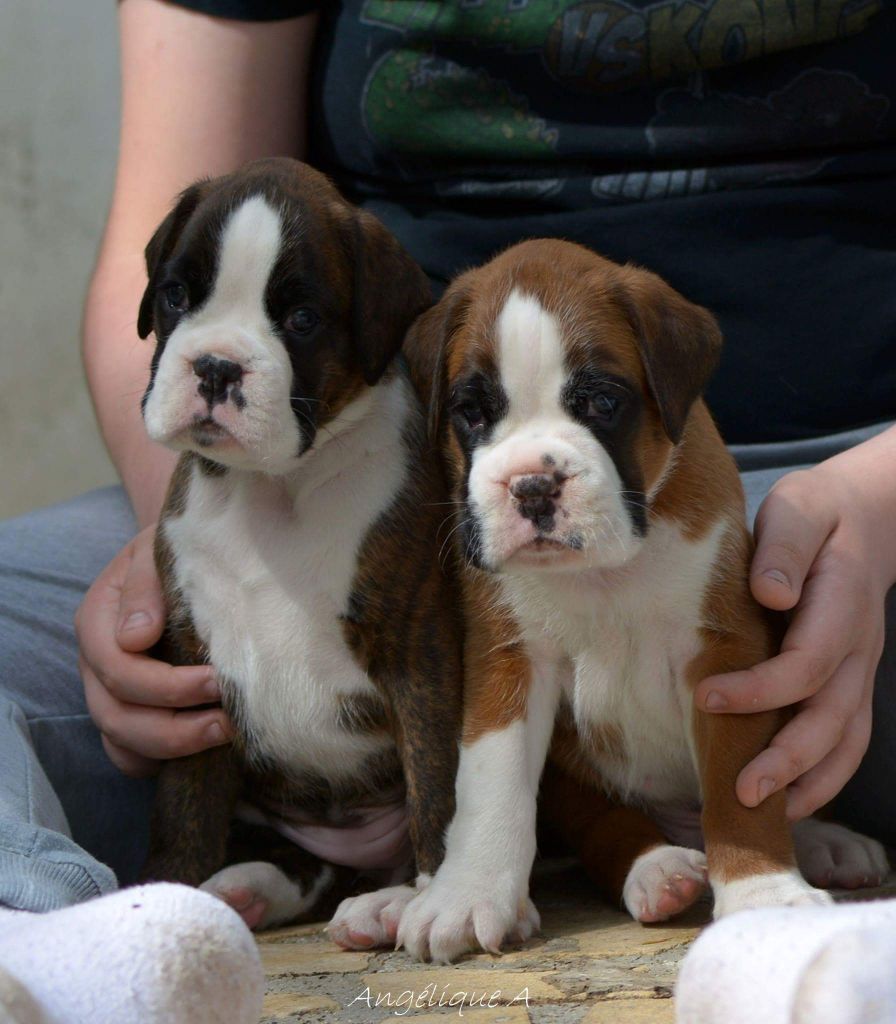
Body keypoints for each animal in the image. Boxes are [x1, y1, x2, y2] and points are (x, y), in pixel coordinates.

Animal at [139, 159, 462, 937]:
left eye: (302, 321)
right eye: (175, 295)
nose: (216, 366)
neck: (274, 487)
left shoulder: (421, 659)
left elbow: (438, 786)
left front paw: (442, 897)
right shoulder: (194, 676)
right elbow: (184, 810)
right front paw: (166, 895)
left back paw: (390, 902)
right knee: (309, 866)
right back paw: (248, 887)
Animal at [393, 237, 888, 958]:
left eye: (602, 403)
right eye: (472, 412)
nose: (532, 485)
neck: (605, 571)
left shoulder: (725, 659)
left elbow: (743, 786)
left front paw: (763, 894)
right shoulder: (507, 664)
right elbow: (491, 783)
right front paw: (467, 893)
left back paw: (826, 842)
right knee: (608, 826)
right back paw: (657, 871)